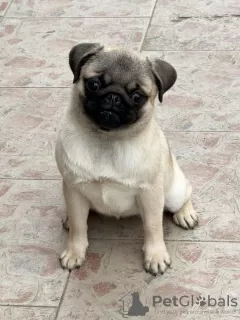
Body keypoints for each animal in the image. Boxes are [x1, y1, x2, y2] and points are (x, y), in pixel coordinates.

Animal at [55, 43, 198, 276]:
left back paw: (185, 214)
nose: (113, 97)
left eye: (138, 96)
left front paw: (155, 256)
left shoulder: (150, 194)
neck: (106, 140)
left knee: (184, 196)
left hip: (173, 192)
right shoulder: (74, 188)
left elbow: (153, 227)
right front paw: (75, 252)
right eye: (94, 84)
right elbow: (78, 227)